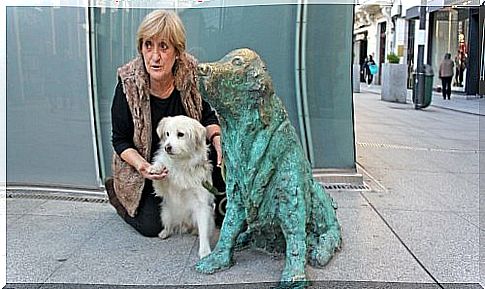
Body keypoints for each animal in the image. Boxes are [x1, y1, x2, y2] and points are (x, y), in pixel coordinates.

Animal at [149, 115, 214, 256]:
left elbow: (203, 230)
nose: (167, 147)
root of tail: (184, 224)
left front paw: (205, 251)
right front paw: (156, 168)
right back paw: (165, 232)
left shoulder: (201, 204)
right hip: (166, 212)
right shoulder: (163, 188)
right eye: (167, 134)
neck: (181, 163)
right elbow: (161, 169)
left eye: (180, 134)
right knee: (169, 225)